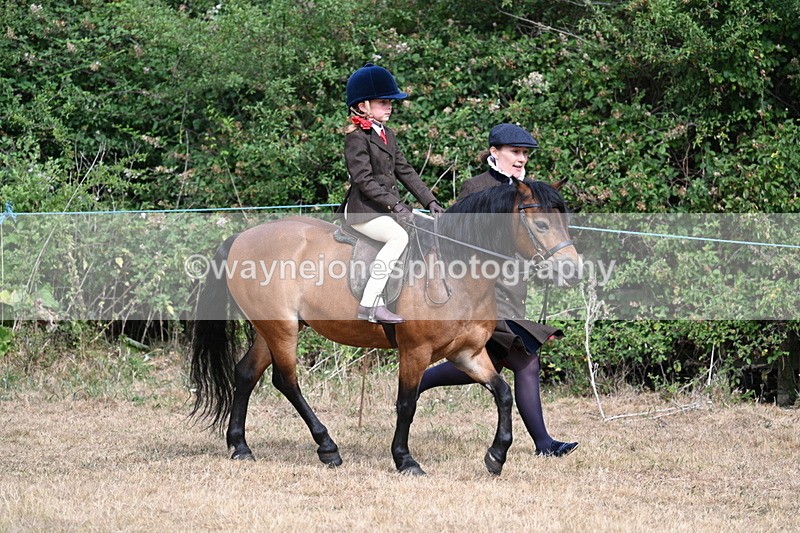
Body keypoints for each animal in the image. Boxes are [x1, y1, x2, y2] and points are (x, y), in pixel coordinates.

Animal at [190, 178, 580, 476]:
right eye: (541, 225)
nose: (572, 270)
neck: (455, 269)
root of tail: (241, 238)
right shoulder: (415, 351)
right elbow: (406, 404)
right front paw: (405, 460)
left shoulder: (467, 353)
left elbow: (503, 393)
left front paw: (496, 456)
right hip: (282, 329)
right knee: (286, 381)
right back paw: (327, 448)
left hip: (272, 328)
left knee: (246, 373)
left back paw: (240, 447)